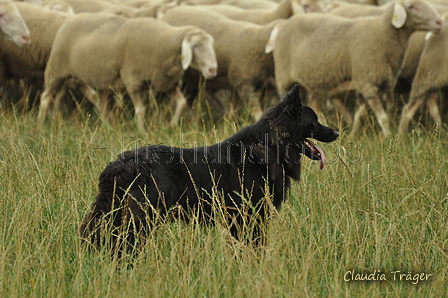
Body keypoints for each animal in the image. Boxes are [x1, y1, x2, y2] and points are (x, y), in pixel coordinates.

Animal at [37, 13, 216, 130]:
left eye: (211, 44)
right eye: (195, 45)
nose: (213, 69)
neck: (163, 41)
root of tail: (70, 19)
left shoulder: (166, 83)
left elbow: (181, 103)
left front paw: (170, 126)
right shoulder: (133, 79)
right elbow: (140, 110)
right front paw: (142, 132)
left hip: (84, 77)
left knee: (97, 100)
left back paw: (108, 126)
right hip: (57, 69)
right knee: (45, 97)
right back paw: (40, 125)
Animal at [81, 85, 340, 253]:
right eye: (314, 120)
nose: (337, 132)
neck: (270, 145)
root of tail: (120, 163)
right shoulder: (249, 217)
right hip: (141, 218)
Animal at [266, 0, 440, 136]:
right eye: (411, 6)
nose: (439, 23)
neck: (383, 32)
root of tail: (284, 23)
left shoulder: (373, 82)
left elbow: (361, 114)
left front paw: (354, 134)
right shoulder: (367, 82)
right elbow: (383, 117)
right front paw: (389, 138)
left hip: (315, 82)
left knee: (315, 107)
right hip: (284, 79)